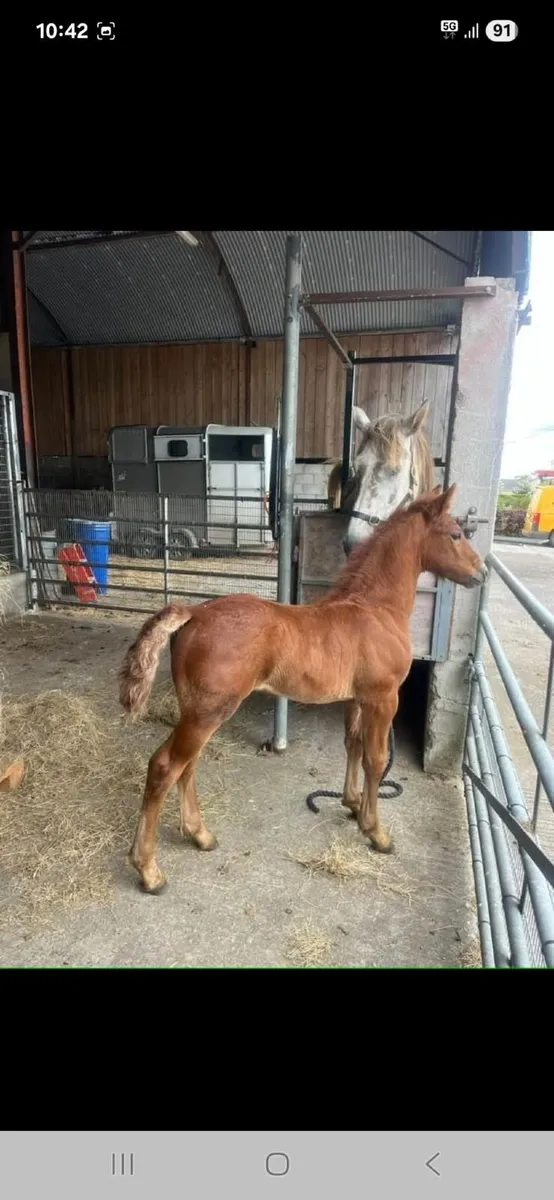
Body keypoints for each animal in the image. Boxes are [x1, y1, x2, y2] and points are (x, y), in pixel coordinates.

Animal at [119, 484, 486, 894]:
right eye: (456, 534)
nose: (481, 573)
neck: (375, 610)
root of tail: (194, 613)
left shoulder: (356, 699)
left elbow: (353, 745)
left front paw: (353, 804)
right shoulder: (382, 698)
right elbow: (376, 760)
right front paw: (376, 832)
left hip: (196, 710)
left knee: (187, 765)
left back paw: (200, 834)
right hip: (208, 711)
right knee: (166, 766)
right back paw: (149, 870)